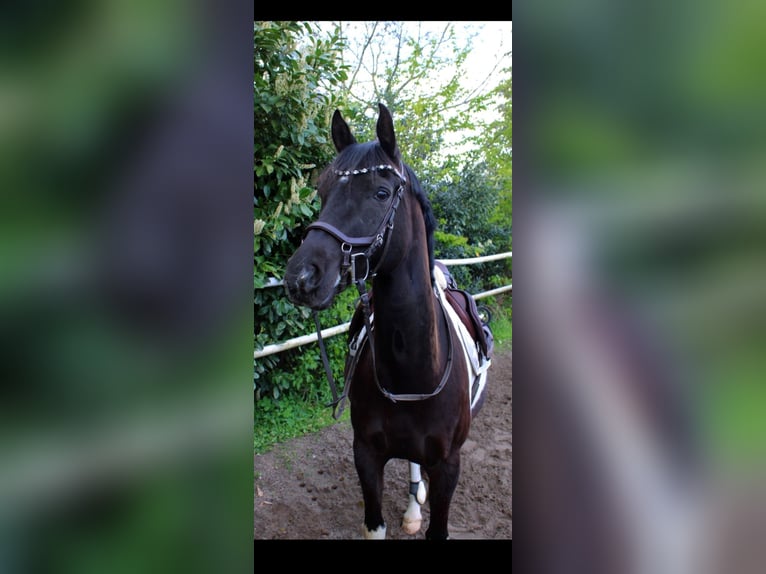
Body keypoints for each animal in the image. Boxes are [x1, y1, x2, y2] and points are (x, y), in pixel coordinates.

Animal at [284, 103, 492, 540]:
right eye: (322, 192)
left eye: (381, 193)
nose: (301, 277)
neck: (411, 372)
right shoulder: (365, 454)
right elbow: (374, 525)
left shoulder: (448, 466)